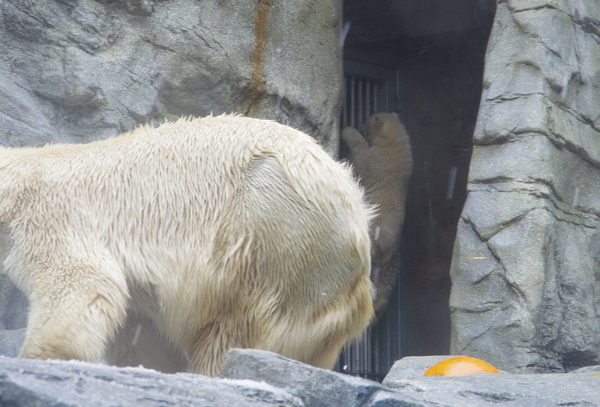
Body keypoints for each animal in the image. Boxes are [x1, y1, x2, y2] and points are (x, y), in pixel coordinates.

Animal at [0, 114, 372, 376]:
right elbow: (141, 332)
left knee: (232, 326)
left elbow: (81, 281)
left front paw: (40, 356)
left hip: (270, 223)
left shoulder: (51, 216)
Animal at [342, 112, 412, 316]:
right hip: (395, 258)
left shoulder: (378, 160)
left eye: (367, 119)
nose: (363, 122)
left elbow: (361, 158)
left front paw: (348, 131)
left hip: (373, 234)